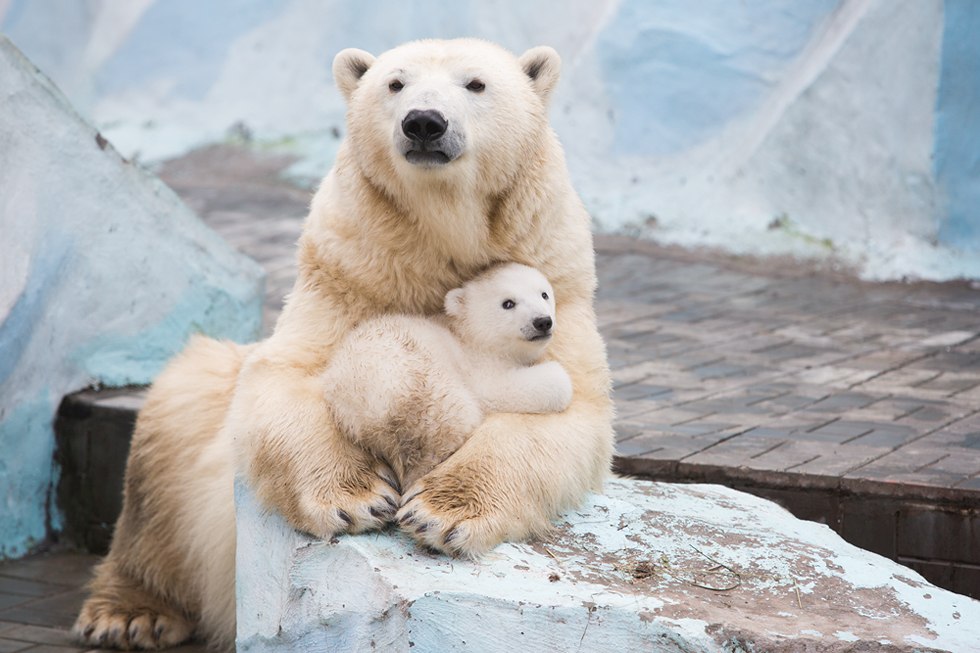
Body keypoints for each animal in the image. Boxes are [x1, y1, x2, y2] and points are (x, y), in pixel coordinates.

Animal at [74, 38, 612, 648]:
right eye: (395, 83)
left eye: (476, 84)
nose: (424, 122)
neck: (441, 235)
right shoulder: (349, 271)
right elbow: (293, 376)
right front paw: (358, 498)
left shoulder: (557, 275)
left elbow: (568, 408)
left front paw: (440, 512)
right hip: (194, 426)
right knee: (167, 452)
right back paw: (129, 613)